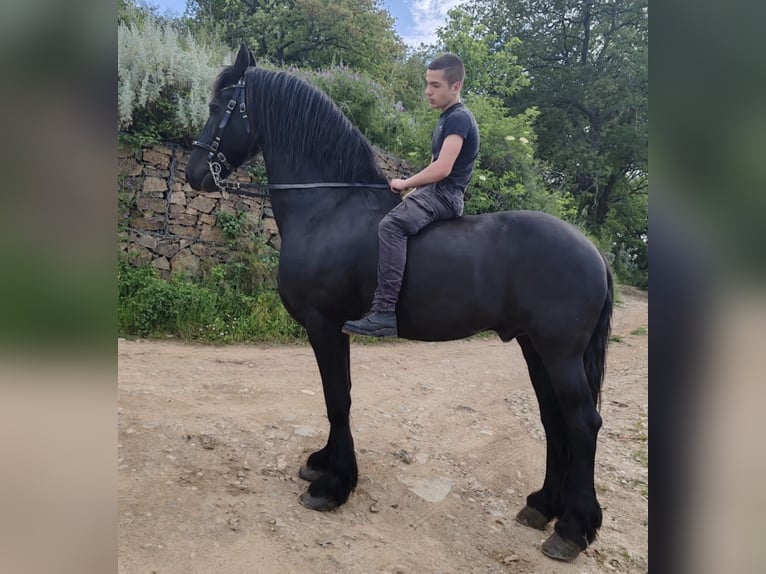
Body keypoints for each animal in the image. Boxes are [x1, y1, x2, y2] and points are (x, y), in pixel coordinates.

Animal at [186, 45, 613, 562]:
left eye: (218, 106)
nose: (193, 174)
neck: (329, 206)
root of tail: (593, 250)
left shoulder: (323, 325)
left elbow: (338, 399)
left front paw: (333, 485)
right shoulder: (332, 329)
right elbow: (338, 397)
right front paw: (325, 464)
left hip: (559, 352)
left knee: (583, 422)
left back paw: (572, 529)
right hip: (535, 347)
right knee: (555, 419)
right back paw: (542, 506)